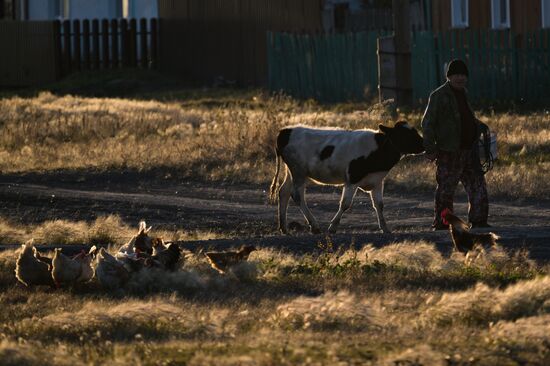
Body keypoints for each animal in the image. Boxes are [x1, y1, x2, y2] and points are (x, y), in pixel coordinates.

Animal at [270, 121, 426, 234]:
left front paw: (385, 228)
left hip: (292, 173)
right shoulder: (352, 180)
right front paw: (333, 227)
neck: (377, 151)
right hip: (298, 172)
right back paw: (314, 226)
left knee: (283, 192)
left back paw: (284, 227)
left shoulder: (377, 182)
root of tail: (285, 131)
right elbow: (345, 204)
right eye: (406, 134)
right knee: (297, 195)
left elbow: (379, 205)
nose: (424, 145)